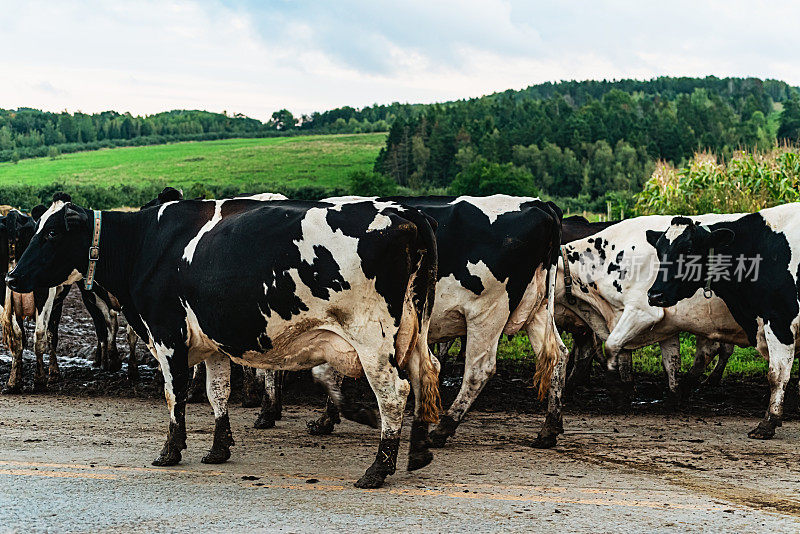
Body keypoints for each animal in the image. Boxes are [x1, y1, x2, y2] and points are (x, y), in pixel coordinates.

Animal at [6, 198, 440, 490]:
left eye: (51, 233)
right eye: (35, 229)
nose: (11, 278)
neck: (144, 244)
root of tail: (405, 213)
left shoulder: (167, 335)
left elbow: (175, 394)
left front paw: (170, 450)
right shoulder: (213, 345)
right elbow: (217, 393)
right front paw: (219, 449)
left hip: (372, 339)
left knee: (394, 394)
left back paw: (379, 469)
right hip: (413, 332)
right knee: (425, 375)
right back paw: (419, 451)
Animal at [648, 205, 800, 440]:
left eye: (688, 249)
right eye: (659, 250)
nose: (655, 295)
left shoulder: (780, 320)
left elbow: (777, 374)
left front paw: (768, 423)